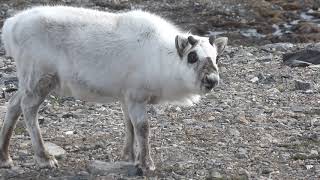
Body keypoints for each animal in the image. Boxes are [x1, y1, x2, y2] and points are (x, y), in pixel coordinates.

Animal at [0, 5, 228, 172]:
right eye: (192, 56)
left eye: (216, 57)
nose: (212, 80)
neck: (162, 58)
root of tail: (10, 26)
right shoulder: (136, 97)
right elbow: (142, 128)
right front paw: (146, 163)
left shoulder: (126, 97)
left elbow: (129, 125)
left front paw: (129, 157)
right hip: (40, 79)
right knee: (28, 108)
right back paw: (44, 158)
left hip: (27, 81)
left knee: (13, 104)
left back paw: (5, 157)